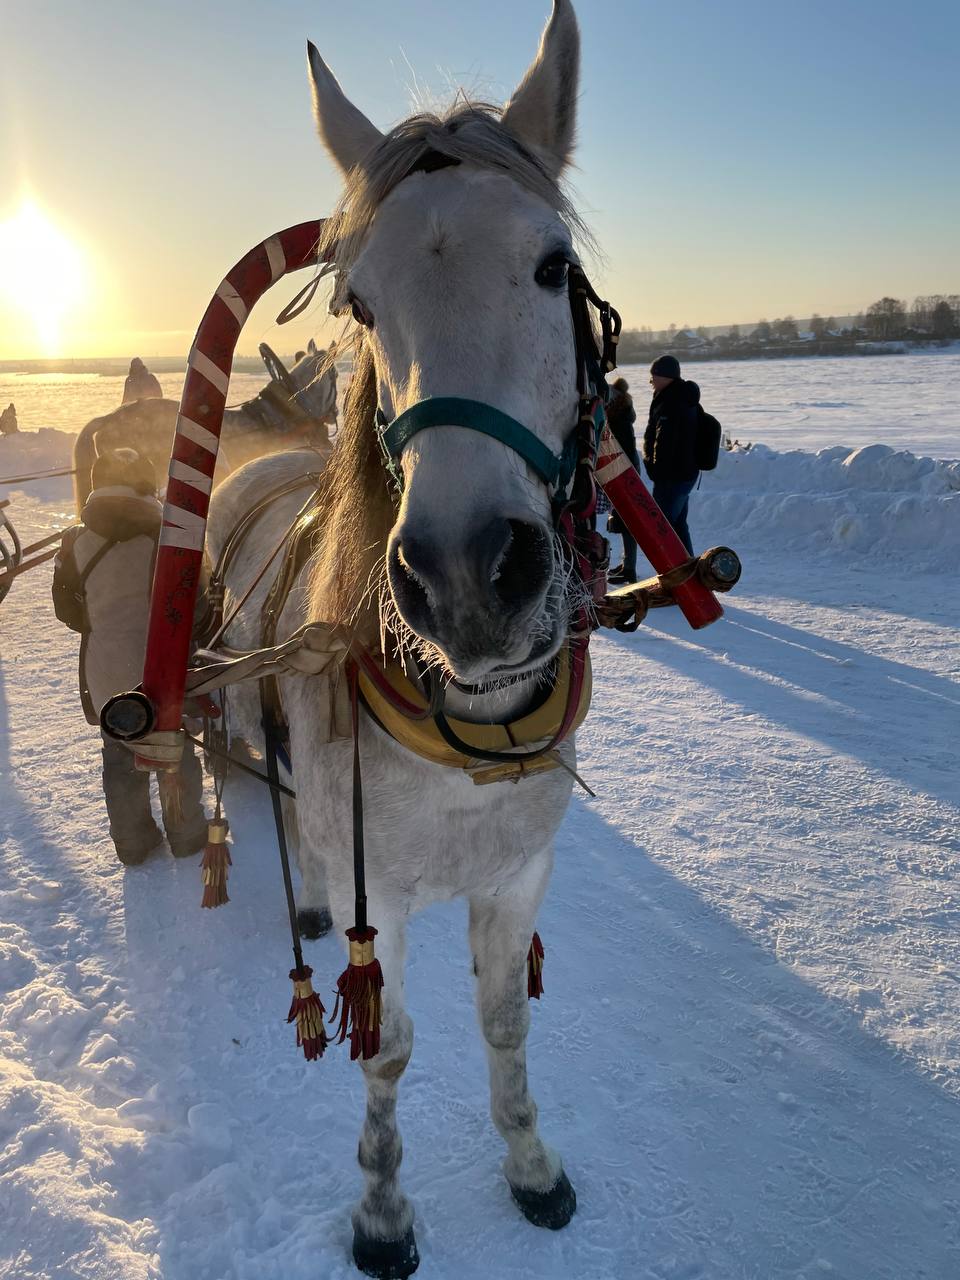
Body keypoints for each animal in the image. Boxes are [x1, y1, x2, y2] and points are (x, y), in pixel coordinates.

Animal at [206, 5, 591, 1274]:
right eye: (360, 305)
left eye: (552, 264)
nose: (469, 576)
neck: (464, 730)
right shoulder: (391, 893)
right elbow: (390, 1046)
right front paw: (381, 1209)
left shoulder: (518, 872)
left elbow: (503, 1019)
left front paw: (531, 1163)